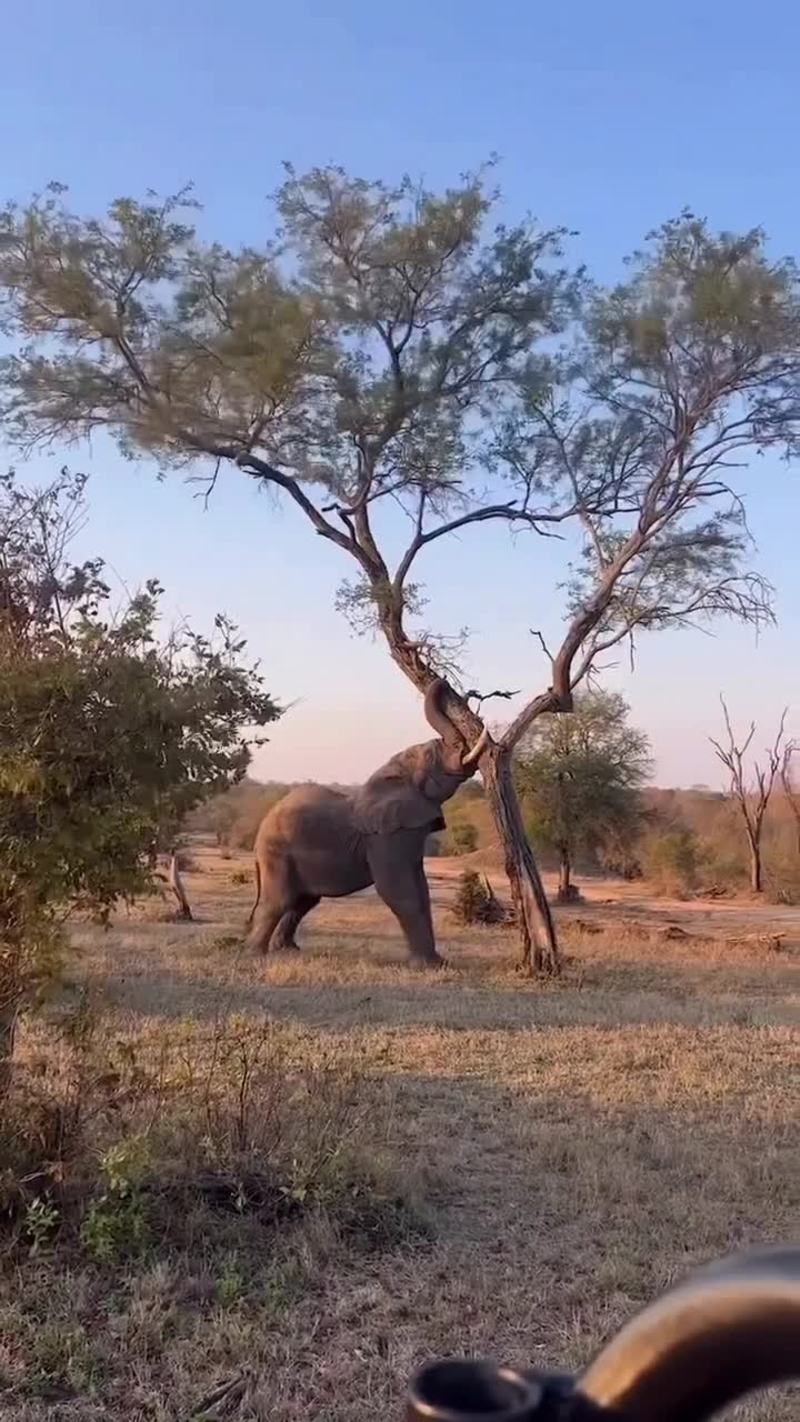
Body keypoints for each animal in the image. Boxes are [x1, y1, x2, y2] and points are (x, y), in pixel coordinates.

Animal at [245, 679, 488, 965]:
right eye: (431, 755)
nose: (447, 682)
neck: (396, 775)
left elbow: (420, 888)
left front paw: (437, 963)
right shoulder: (384, 835)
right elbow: (398, 889)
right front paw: (426, 966)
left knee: (303, 901)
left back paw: (287, 950)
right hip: (276, 852)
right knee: (280, 900)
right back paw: (255, 954)